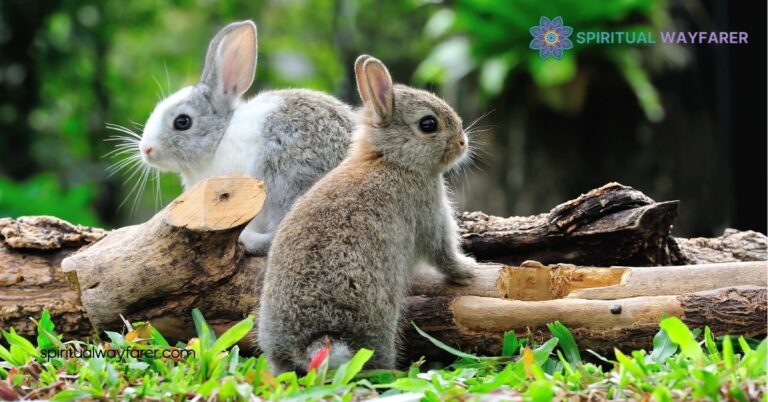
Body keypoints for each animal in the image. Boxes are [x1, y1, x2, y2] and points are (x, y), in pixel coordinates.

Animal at [257, 55, 478, 373]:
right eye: (428, 124)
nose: (463, 143)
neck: (391, 159)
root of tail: (312, 343)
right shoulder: (429, 213)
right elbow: (443, 253)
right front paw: (468, 270)